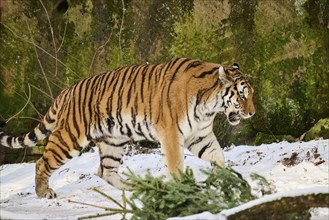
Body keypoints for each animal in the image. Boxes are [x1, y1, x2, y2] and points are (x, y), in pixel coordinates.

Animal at [0, 57, 255, 199]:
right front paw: (182, 188)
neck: (209, 106)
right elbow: (176, 165)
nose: (252, 113)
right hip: (69, 137)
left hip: (113, 140)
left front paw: (225, 179)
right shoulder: (171, 134)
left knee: (105, 171)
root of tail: (67, 91)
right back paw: (44, 193)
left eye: (250, 94)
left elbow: (218, 156)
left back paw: (135, 186)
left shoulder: (199, 135)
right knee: (42, 162)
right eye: (242, 95)